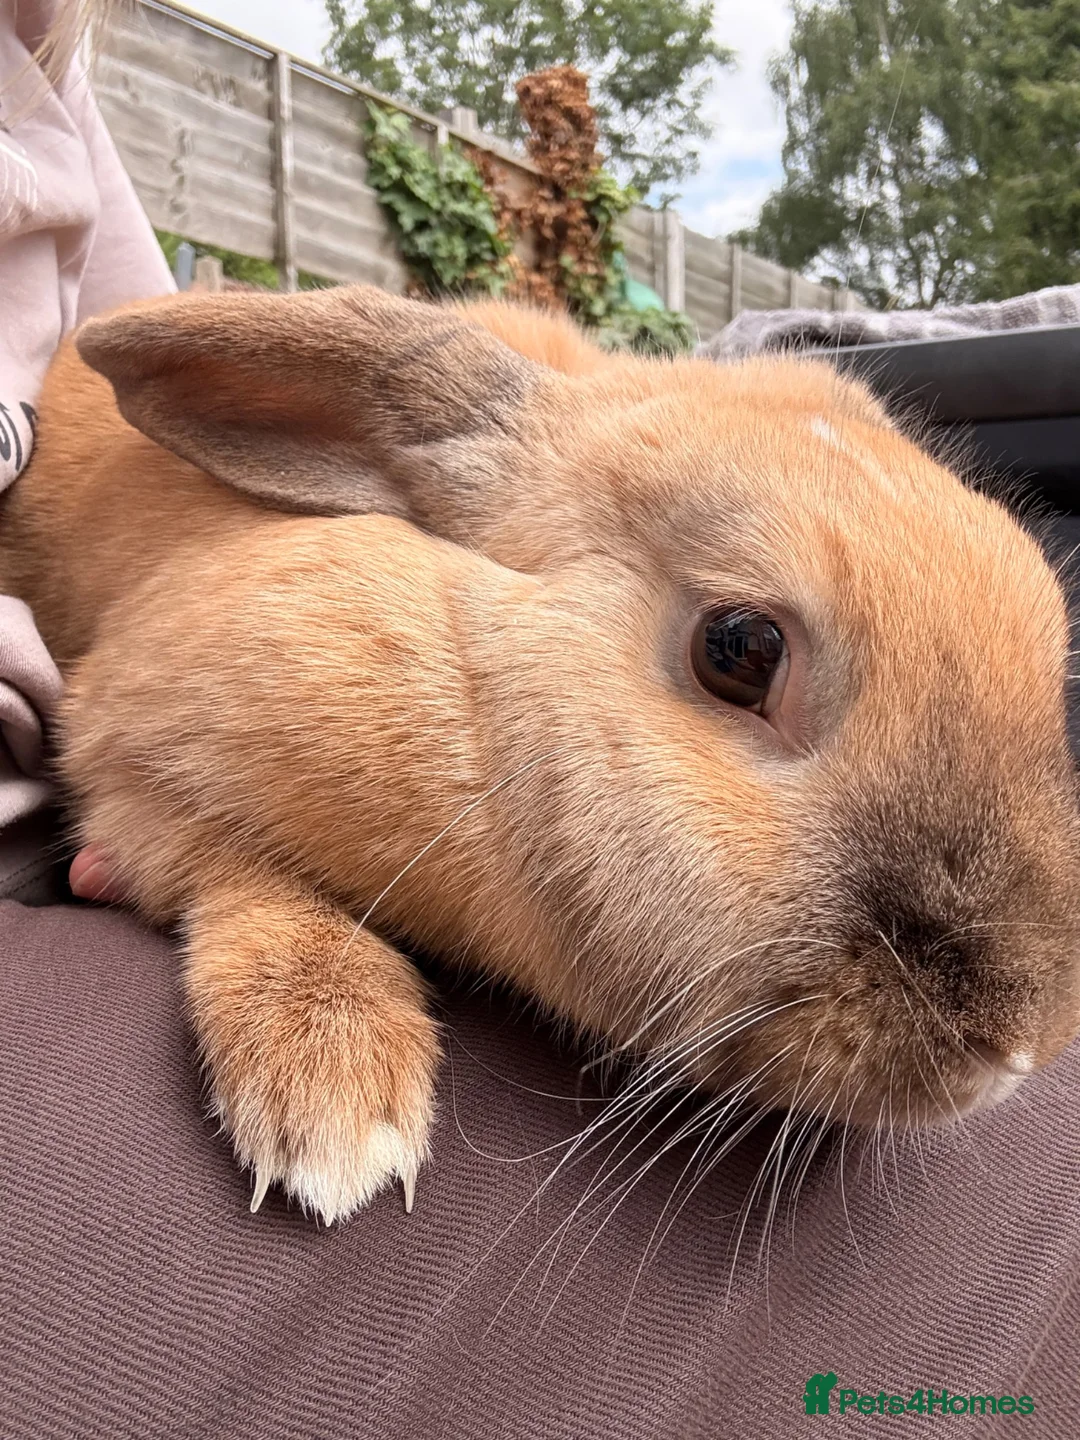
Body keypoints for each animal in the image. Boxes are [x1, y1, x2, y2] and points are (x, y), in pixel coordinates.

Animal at [1, 282, 1078, 1224]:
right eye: (741, 648)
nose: (1018, 1050)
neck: (470, 694)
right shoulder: (125, 774)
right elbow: (245, 877)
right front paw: (336, 1102)